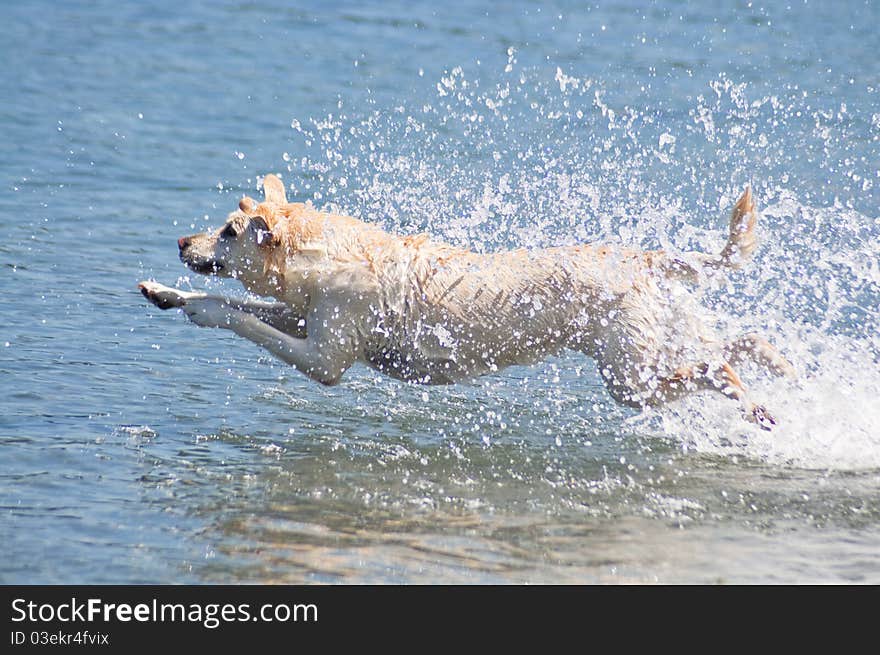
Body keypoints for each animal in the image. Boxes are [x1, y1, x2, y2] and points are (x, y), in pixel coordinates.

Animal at [141, 177, 796, 428]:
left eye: (229, 231)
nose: (181, 242)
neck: (324, 257)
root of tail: (644, 257)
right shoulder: (303, 319)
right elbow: (232, 301)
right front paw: (167, 293)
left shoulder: (324, 361)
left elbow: (234, 314)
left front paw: (198, 309)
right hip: (659, 346)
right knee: (745, 342)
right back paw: (787, 371)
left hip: (630, 379)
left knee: (722, 368)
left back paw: (757, 405)